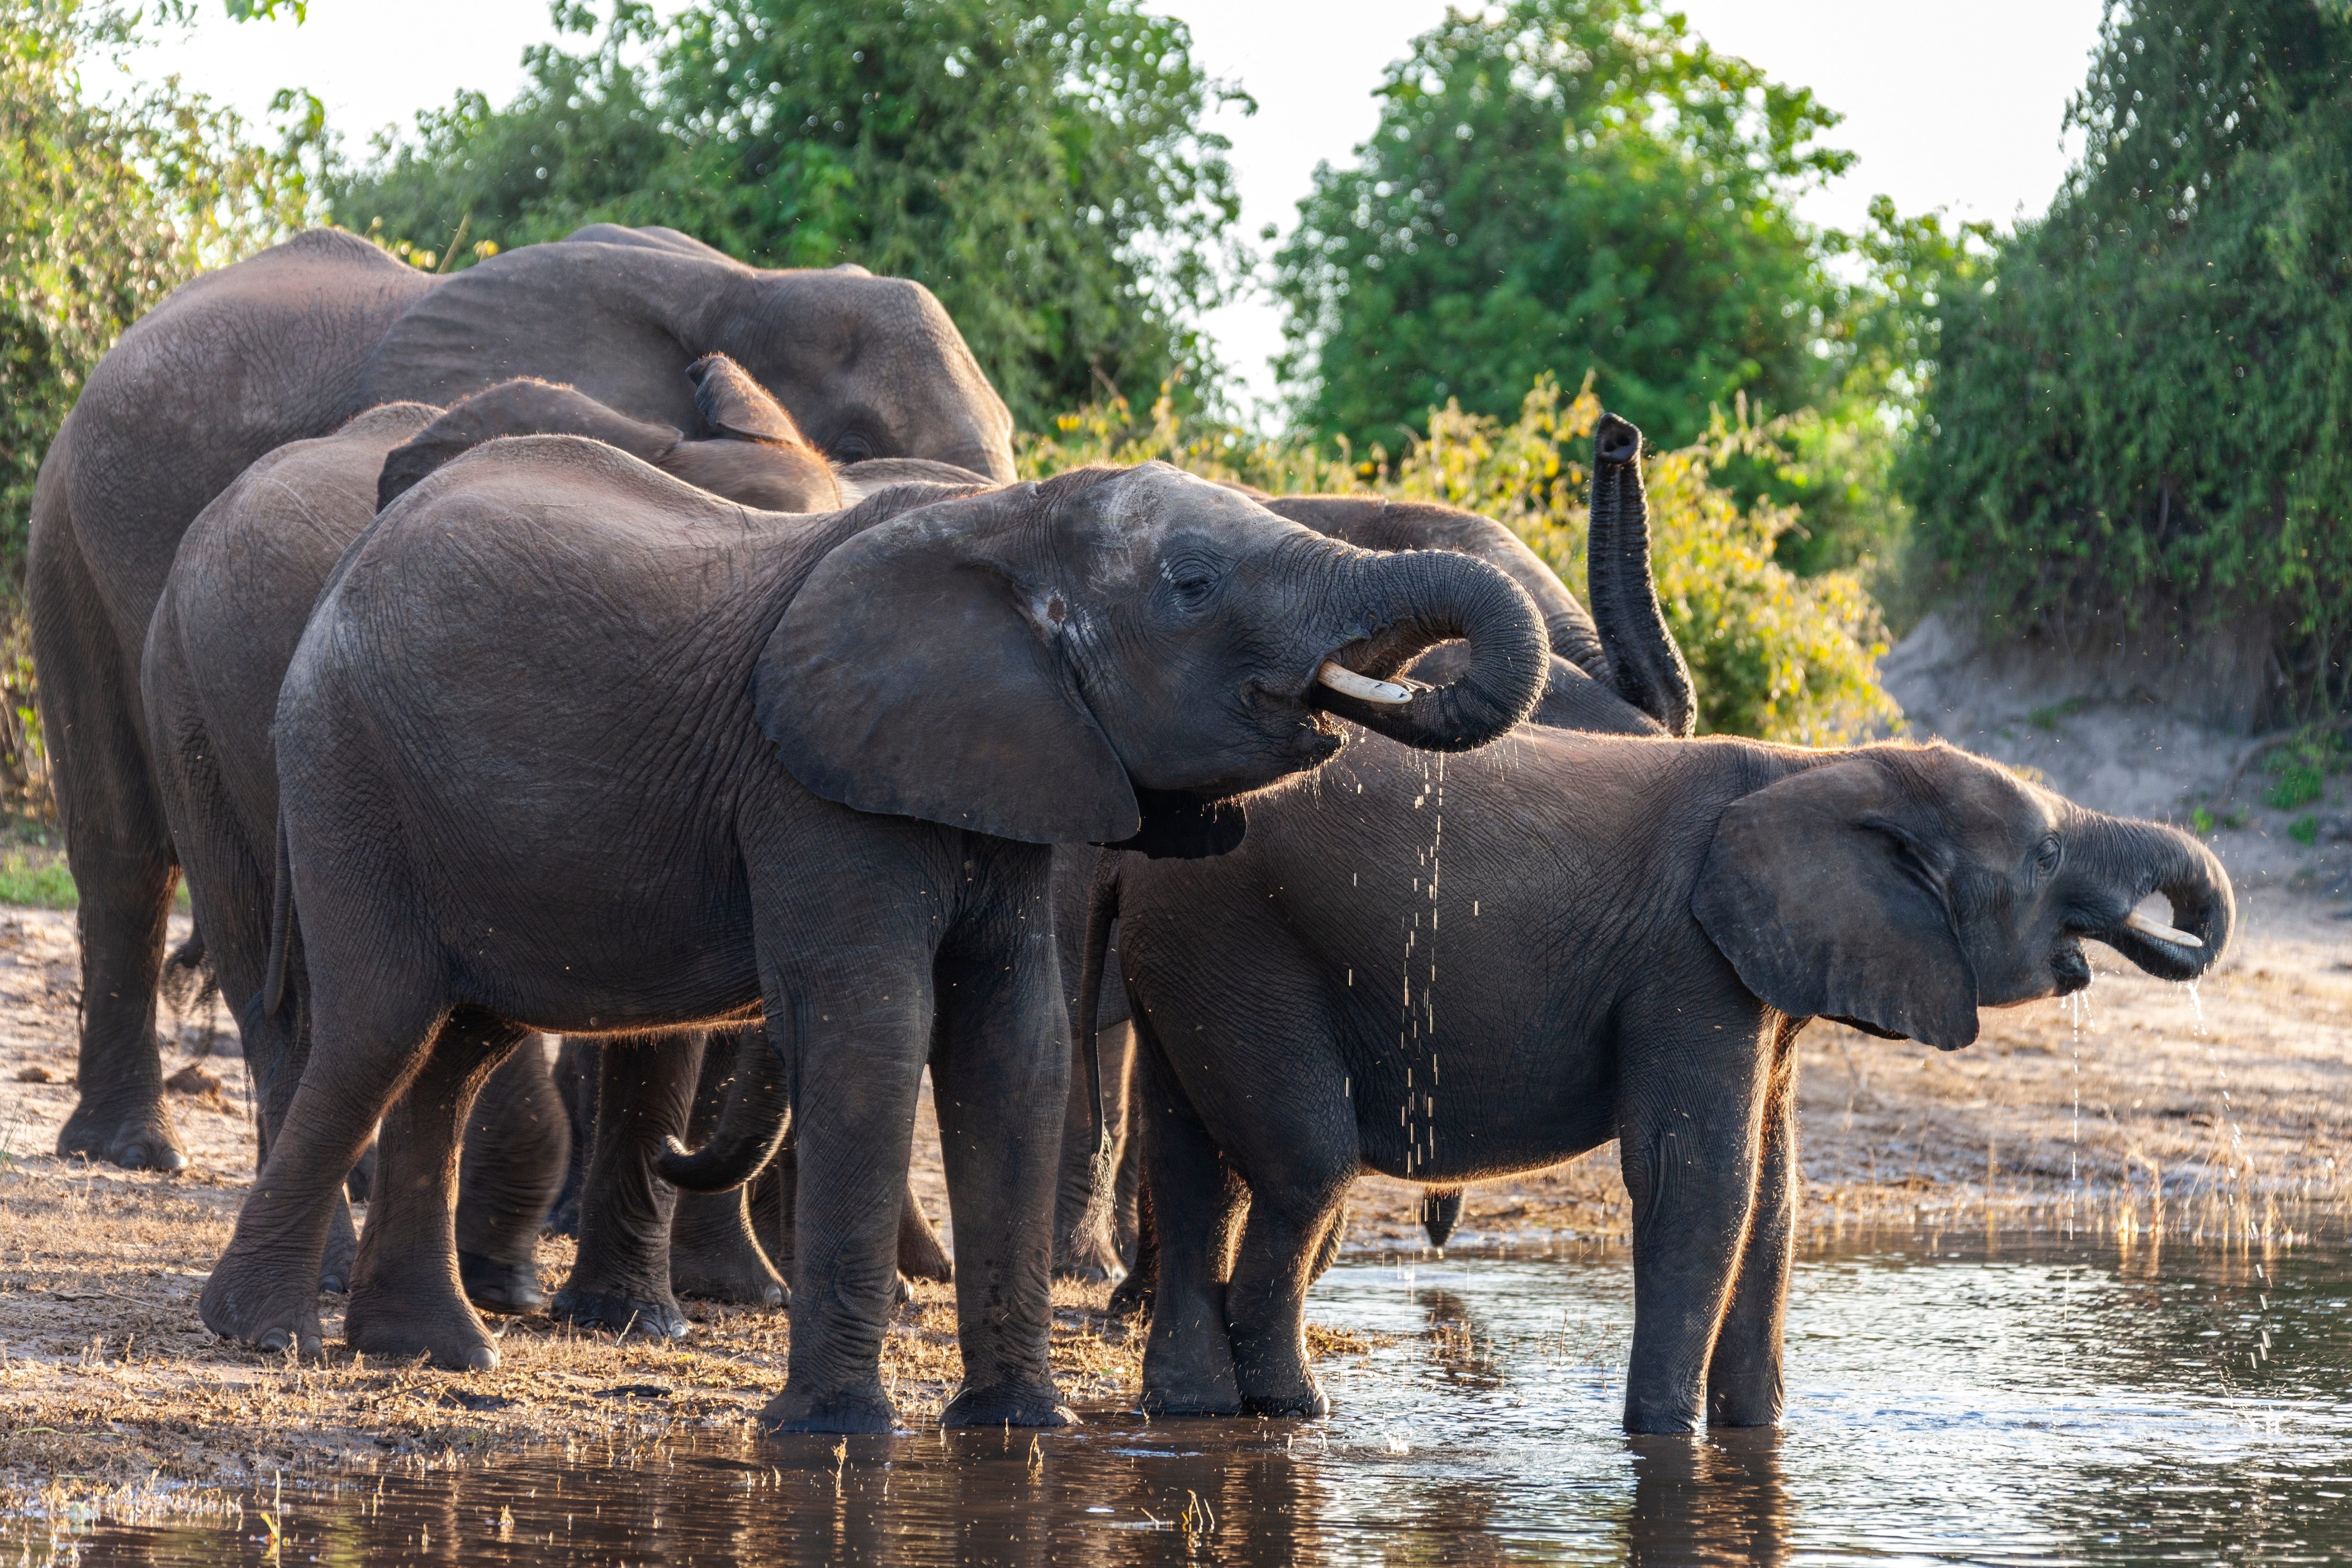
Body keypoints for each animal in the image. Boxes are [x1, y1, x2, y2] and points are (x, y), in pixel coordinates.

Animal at [195, 447, 1551, 1434]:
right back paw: (260, 1335)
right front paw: (836, 1437)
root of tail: (350, 569)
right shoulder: (814, 790)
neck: (1008, 524)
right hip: (347, 770)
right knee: (378, 1027)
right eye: (1194, 580)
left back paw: (431, 1352)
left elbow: (1013, 1042)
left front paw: (1019, 1429)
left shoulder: (1011, 774)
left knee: (454, 1049)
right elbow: (873, 1031)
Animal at [1080, 420, 2234, 1432]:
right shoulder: (1686, 963)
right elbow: (1698, 1180)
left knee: (1196, 1160)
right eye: (2040, 856)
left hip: (1197, 956)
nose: (1618, 432)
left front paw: (1755, 1436)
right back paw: (1295, 1410)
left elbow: (1771, 1194)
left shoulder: (1762, 980)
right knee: (1304, 1165)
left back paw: (1189, 1408)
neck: (1817, 767)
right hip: (1247, 947)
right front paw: (1663, 1439)